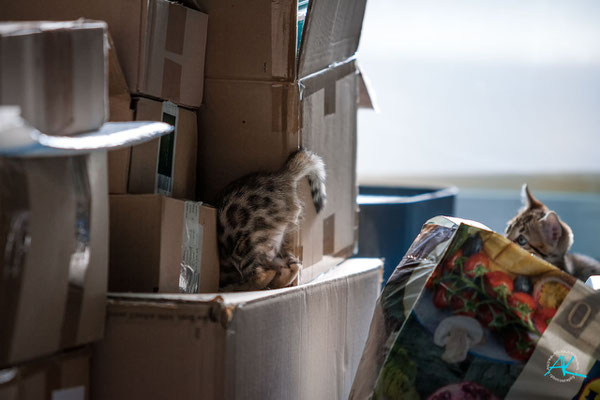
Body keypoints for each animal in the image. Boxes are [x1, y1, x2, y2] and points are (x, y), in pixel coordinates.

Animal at [217, 148, 326, 292]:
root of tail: (282, 177)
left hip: (242, 247)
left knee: (262, 275)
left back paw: (240, 287)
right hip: (272, 246)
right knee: (293, 265)